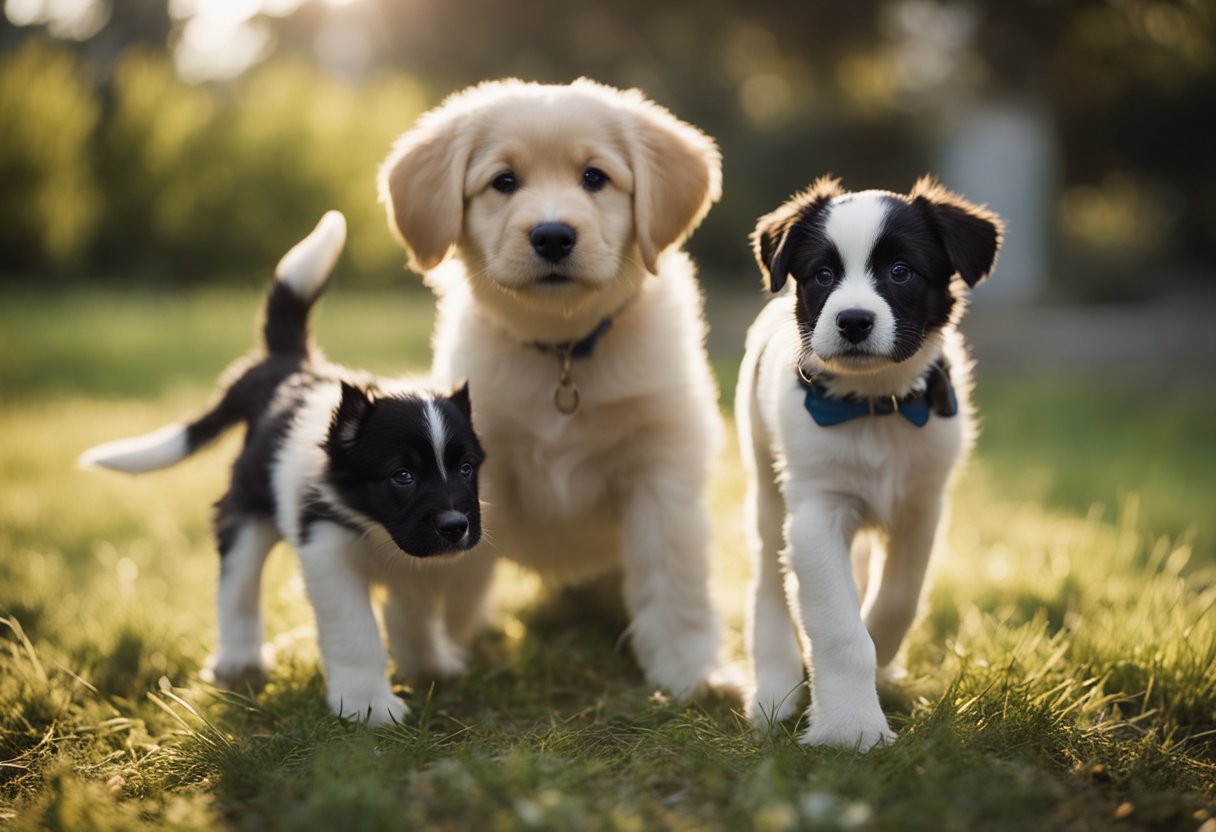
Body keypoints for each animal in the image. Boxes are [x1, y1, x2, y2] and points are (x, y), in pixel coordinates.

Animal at [77, 211, 488, 724]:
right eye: (403, 475)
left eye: (466, 468)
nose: (455, 526)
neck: (377, 528)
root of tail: (284, 363)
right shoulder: (327, 549)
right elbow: (356, 633)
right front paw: (368, 705)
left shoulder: (419, 563)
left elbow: (412, 617)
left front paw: (430, 669)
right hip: (245, 513)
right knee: (236, 586)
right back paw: (238, 663)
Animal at [376, 81, 719, 700]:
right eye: (504, 181)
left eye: (595, 177)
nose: (553, 235)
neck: (562, 351)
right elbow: (452, 567)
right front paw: (435, 655)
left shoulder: (663, 469)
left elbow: (673, 577)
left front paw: (688, 671)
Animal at [734, 173, 1001, 749]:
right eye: (823, 274)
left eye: (901, 272)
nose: (853, 321)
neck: (876, 404)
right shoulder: (816, 515)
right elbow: (838, 628)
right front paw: (851, 729)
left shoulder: (923, 508)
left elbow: (899, 597)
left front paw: (879, 664)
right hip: (766, 487)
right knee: (768, 579)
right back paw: (774, 686)